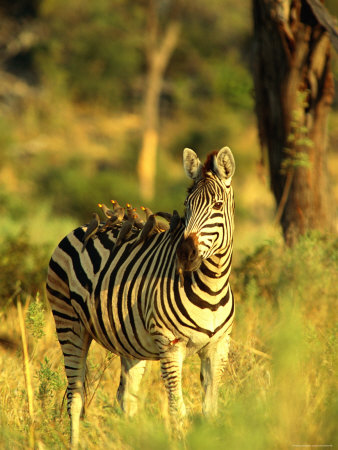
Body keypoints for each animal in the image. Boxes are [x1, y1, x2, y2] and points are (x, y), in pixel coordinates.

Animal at [45, 147, 235, 446]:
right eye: (186, 205)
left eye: (217, 206)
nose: (185, 254)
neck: (212, 286)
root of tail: (81, 226)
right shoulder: (170, 344)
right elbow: (177, 410)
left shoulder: (218, 346)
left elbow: (211, 411)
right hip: (69, 324)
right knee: (75, 398)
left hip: (130, 341)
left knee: (127, 400)